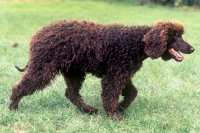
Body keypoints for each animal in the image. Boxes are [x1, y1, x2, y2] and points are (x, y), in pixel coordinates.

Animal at [8, 20, 195, 120]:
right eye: (176, 36)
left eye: (181, 35)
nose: (193, 49)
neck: (136, 42)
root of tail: (38, 34)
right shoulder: (114, 76)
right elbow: (110, 96)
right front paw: (115, 116)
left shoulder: (122, 74)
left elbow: (132, 93)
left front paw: (121, 107)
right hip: (43, 68)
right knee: (20, 86)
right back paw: (13, 108)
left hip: (74, 71)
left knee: (71, 93)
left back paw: (89, 110)